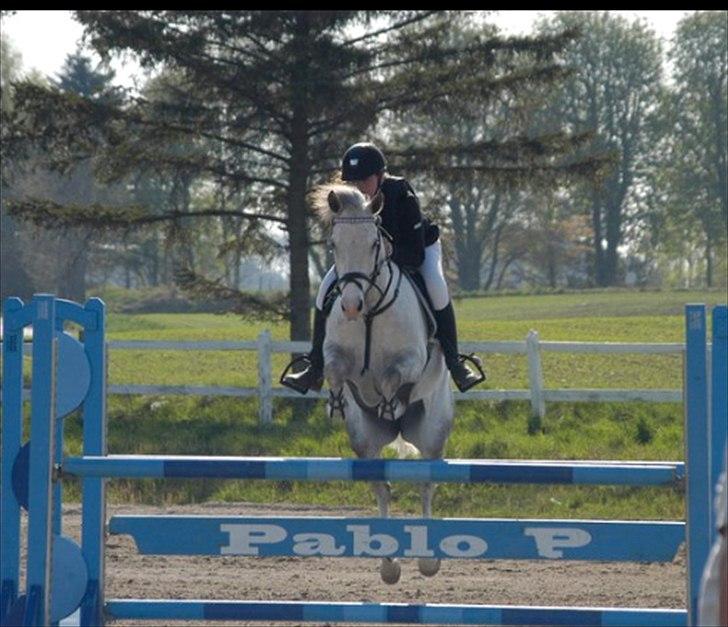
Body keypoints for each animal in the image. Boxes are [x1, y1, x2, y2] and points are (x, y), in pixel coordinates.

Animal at [313, 183, 454, 584]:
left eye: (375, 243)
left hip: (432, 431)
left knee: (426, 482)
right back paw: (389, 564)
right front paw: (335, 401)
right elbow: (334, 370)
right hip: (364, 440)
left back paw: (427, 561)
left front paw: (391, 402)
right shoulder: (335, 354)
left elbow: (393, 375)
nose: (350, 306)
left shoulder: (411, 360)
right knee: (382, 486)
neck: (371, 313)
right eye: (334, 244)